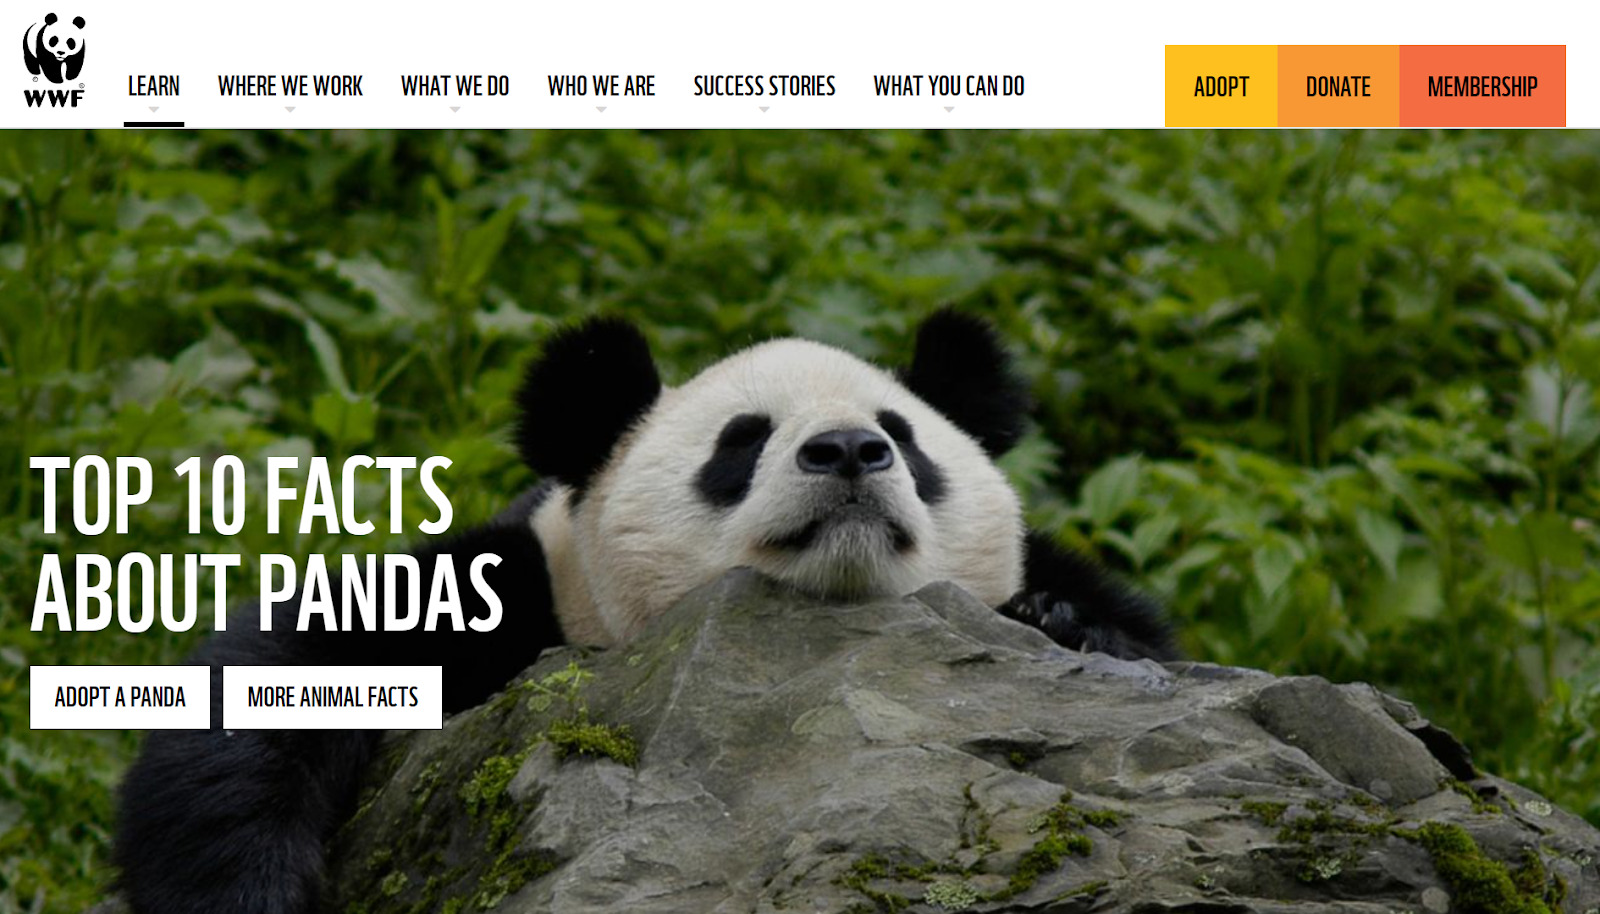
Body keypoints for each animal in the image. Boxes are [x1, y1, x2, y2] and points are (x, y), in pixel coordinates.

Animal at [114, 310, 1175, 914]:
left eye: (904, 438)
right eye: (741, 442)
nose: (846, 451)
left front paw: (1065, 622)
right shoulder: (514, 597)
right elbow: (286, 679)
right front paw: (248, 889)